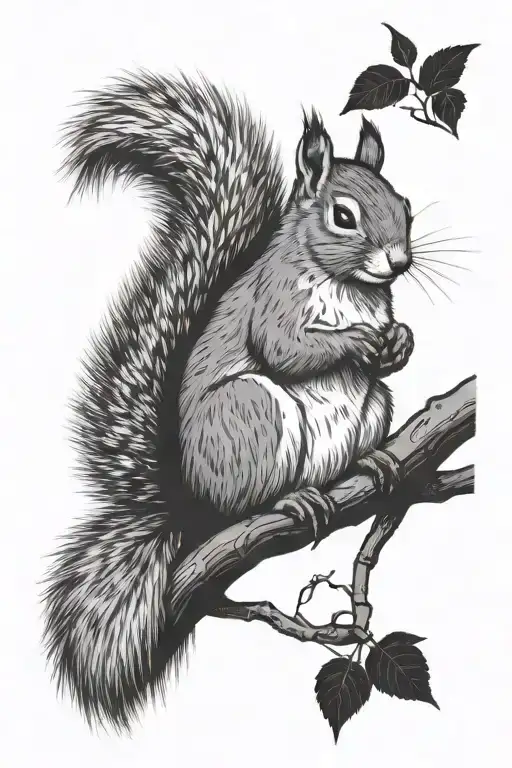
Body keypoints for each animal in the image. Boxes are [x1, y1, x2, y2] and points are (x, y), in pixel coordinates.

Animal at [42, 69, 415, 733]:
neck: (351, 288)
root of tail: (191, 505)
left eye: (406, 208)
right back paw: (294, 499)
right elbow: (286, 349)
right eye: (343, 215)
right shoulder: (273, 305)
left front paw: (399, 340)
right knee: (248, 494)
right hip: (252, 410)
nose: (398, 260)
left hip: (374, 406)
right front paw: (359, 341)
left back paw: (371, 464)